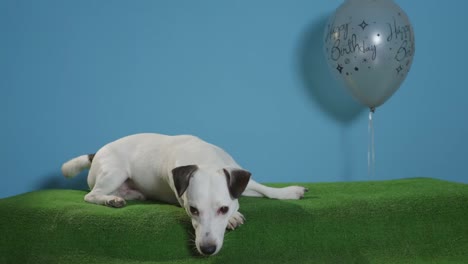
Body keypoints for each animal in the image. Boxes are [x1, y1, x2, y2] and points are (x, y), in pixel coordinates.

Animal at [60, 134, 308, 256]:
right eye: (193, 210)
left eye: (223, 209)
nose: (207, 249)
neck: (205, 160)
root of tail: (96, 153)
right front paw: (235, 218)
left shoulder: (238, 176)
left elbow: (264, 189)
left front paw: (289, 191)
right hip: (115, 172)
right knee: (91, 195)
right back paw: (110, 200)